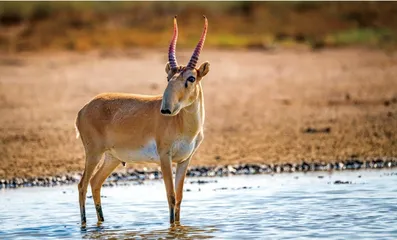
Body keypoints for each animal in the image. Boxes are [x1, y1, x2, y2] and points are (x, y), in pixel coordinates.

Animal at [75, 16, 210, 227]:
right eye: (168, 77)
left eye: (191, 78)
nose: (166, 109)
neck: (183, 125)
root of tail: (84, 108)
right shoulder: (165, 157)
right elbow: (171, 196)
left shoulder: (184, 160)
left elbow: (179, 198)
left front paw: (178, 227)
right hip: (94, 154)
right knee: (82, 185)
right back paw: (84, 226)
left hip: (112, 158)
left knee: (95, 182)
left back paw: (102, 222)